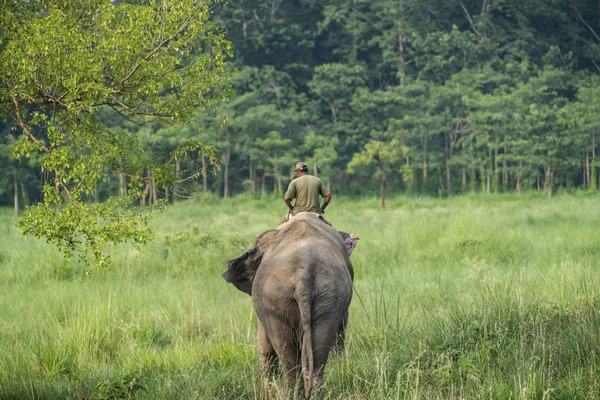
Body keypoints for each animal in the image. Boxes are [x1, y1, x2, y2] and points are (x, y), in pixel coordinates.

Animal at [223, 214, 358, 396]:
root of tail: (303, 274)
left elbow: (264, 345)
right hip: (329, 298)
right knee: (316, 360)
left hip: (277, 303)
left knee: (288, 359)